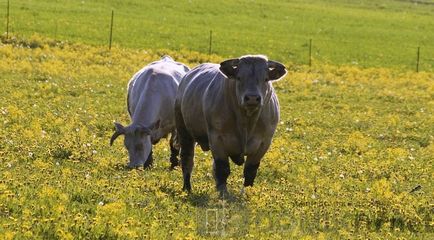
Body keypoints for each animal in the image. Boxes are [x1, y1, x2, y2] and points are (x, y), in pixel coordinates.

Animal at [175, 55, 286, 194]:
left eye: (265, 79)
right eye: (239, 77)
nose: (252, 98)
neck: (246, 122)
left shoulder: (264, 143)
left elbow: (250, 171)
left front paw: (247, 192)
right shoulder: (217, 139)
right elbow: (222, 169)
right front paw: (224, 194)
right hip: (184, 131)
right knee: (187, 159)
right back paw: (187, 188)